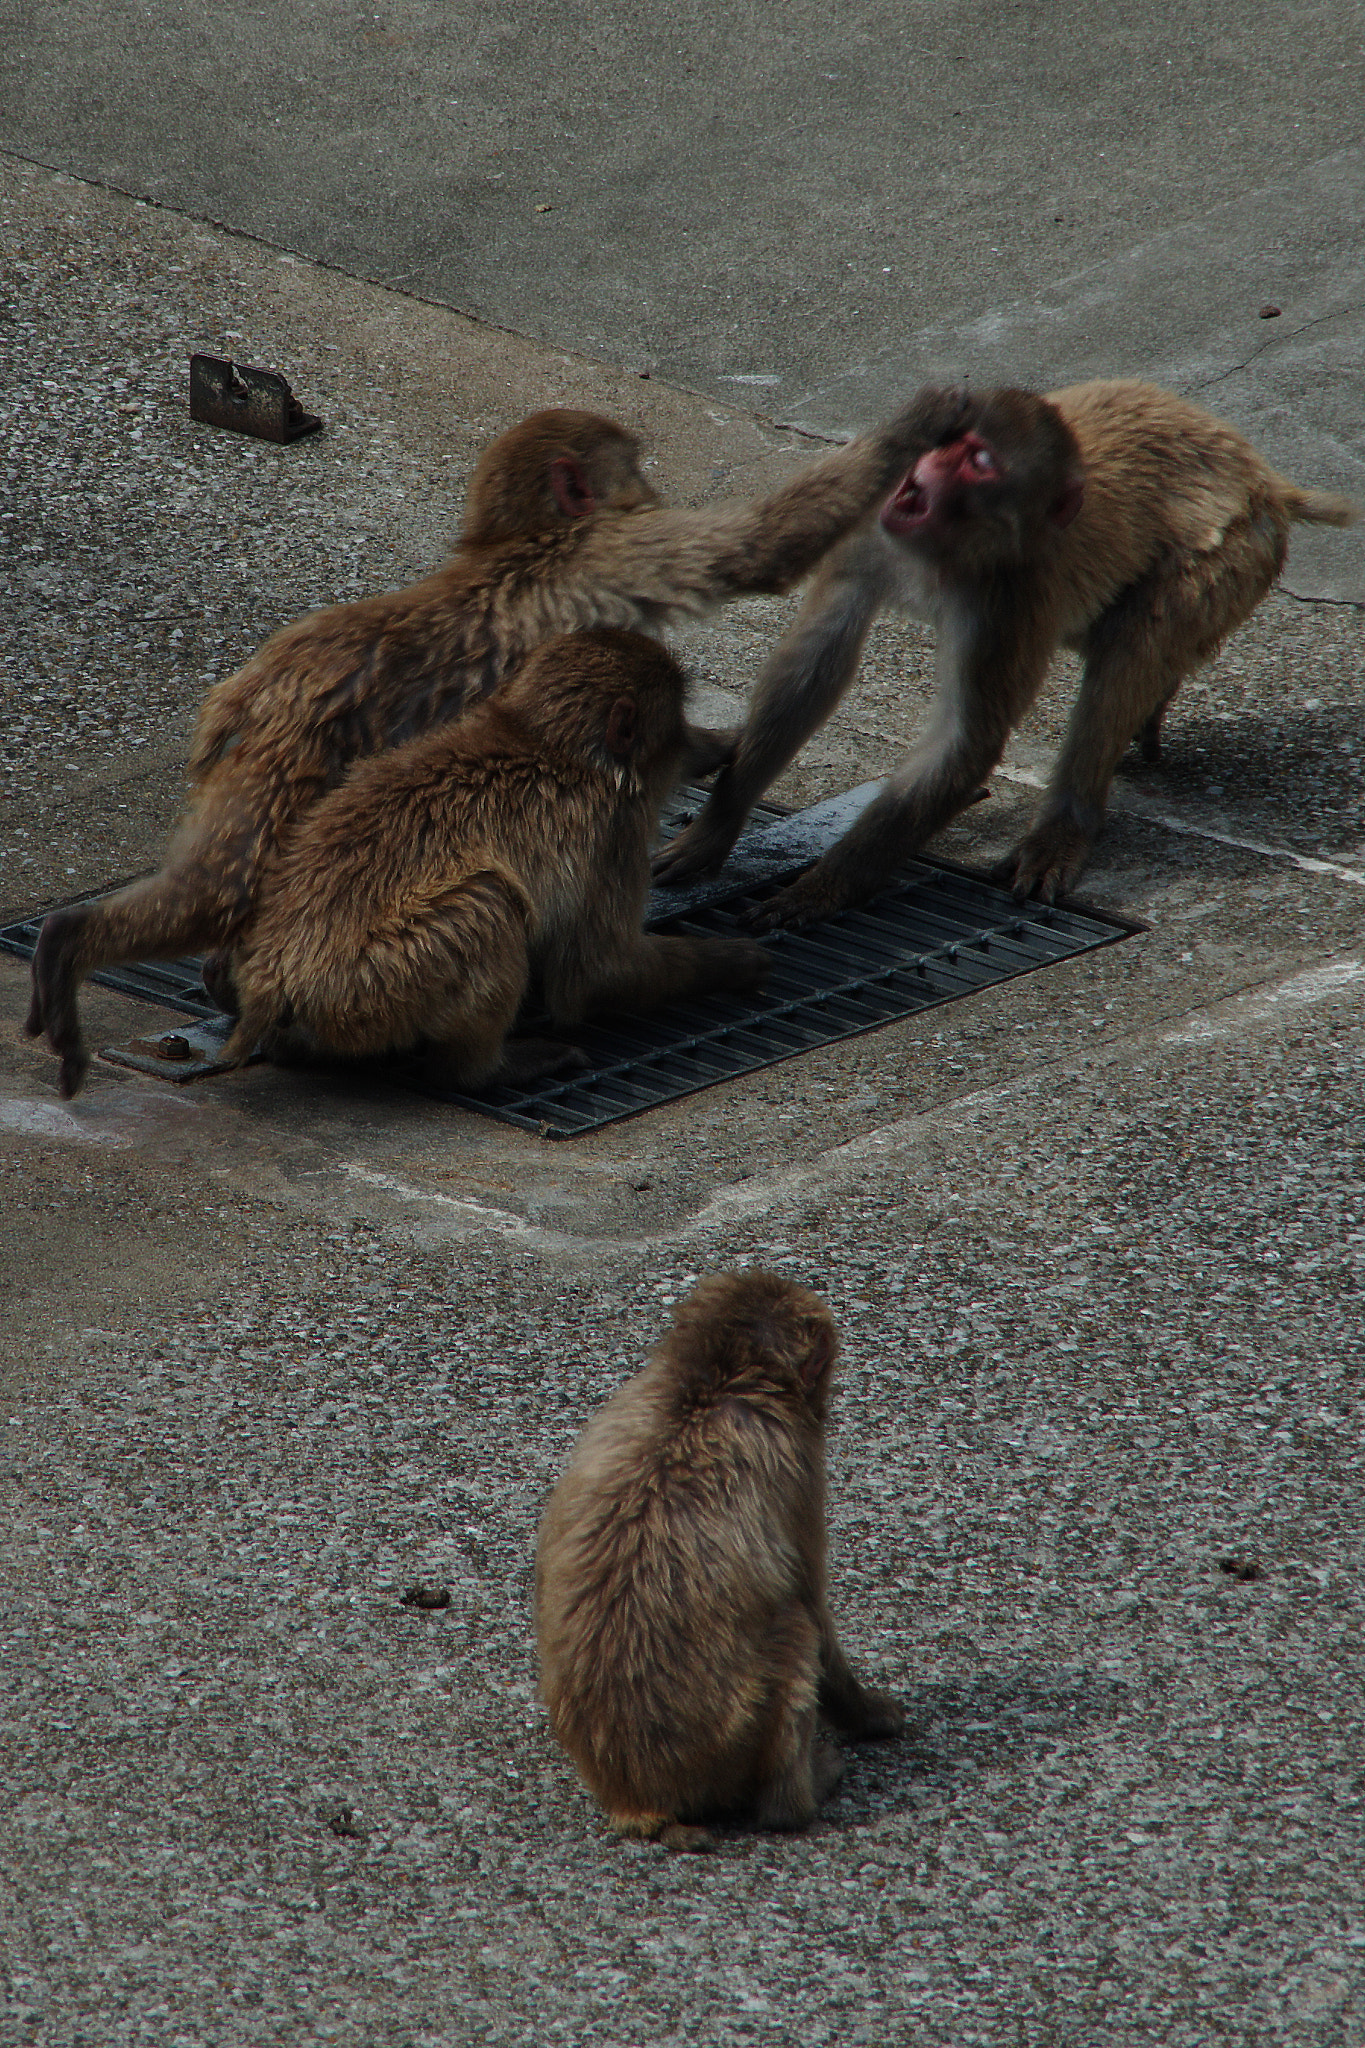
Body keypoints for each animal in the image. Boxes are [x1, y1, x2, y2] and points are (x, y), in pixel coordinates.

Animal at [225, 630, 777, 1089]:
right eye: (676, 728)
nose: (698, 741)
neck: (546, 739)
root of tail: (273, 981)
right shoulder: (615, 836)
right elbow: (596, 974)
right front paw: (735, 962)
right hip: (368, 987)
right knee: (487, 902)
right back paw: (482, 1070)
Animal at [536, 1269, 908, 1851]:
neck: (705, 1392)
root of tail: (634, 1797)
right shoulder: (797, 1463)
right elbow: (812, 1608)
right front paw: (869, 1714)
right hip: (729, 1743)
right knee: (796, 1631)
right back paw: (798, 1798)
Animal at [654, 380, 1358, 925]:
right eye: (949, 445)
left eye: (980, 461)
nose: (930, 465)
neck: (943, 549)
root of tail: (1262, 477)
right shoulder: (875, 525)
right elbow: (813, 664)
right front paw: (715, 829)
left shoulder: (1010, 598)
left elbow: (964, 740)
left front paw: (824, 888)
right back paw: (1157, 703)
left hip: (1230, 553)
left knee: (1129, 655)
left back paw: (1067, 824)